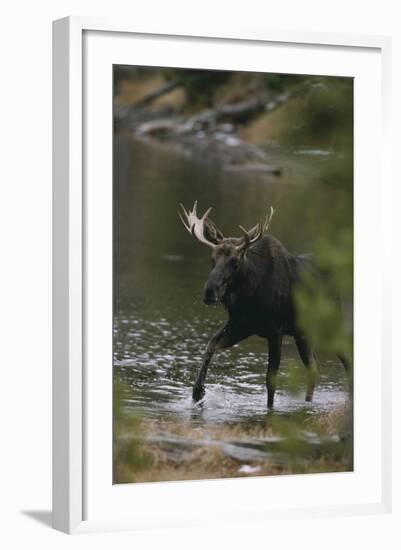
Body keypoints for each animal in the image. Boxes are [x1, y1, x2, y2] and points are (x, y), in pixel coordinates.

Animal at [179, 203, 350, 410]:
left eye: (235, 261)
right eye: (212, 259)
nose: (210, 291)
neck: (249, 296)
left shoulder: (275, 330)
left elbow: (271, 379)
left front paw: (270, 409)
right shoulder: (240, 326)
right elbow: (210, 345)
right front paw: (198, 392)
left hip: (331, 323)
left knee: (345, 356)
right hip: (303, 333)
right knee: (313, 366)